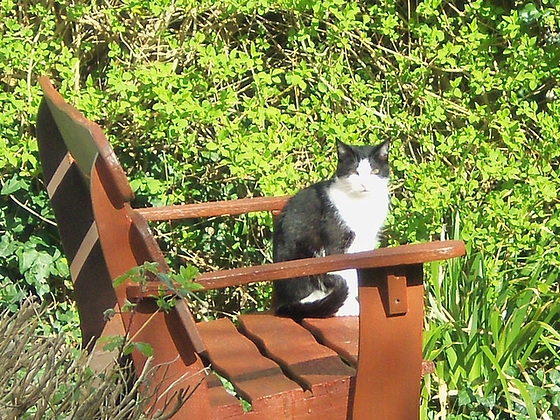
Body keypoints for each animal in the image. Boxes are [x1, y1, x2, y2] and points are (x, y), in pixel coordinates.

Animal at [274, 139, 390, 318]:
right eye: (354, 172)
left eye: (375, 171)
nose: (364, 184)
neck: (361, 204)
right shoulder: (336, 245)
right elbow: (347, 275)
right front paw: (348, 307)